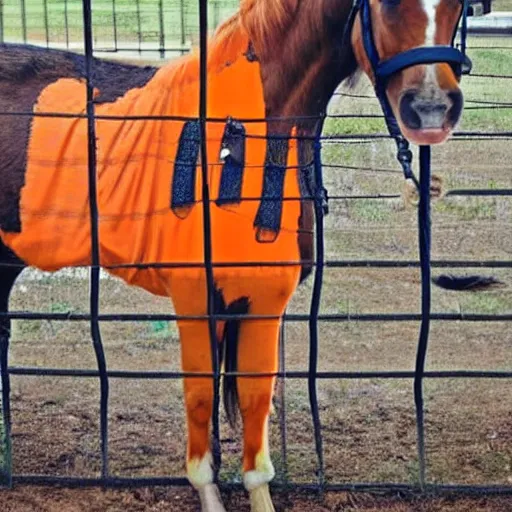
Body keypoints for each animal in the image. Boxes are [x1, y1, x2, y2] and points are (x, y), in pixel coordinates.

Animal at [0, 0, 470, 510]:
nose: (432, 110)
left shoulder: (263, 302)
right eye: (386, 6)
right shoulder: (197, 301)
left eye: (457, 8)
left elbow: (252, 398)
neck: (240, 143)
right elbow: (202, 396)